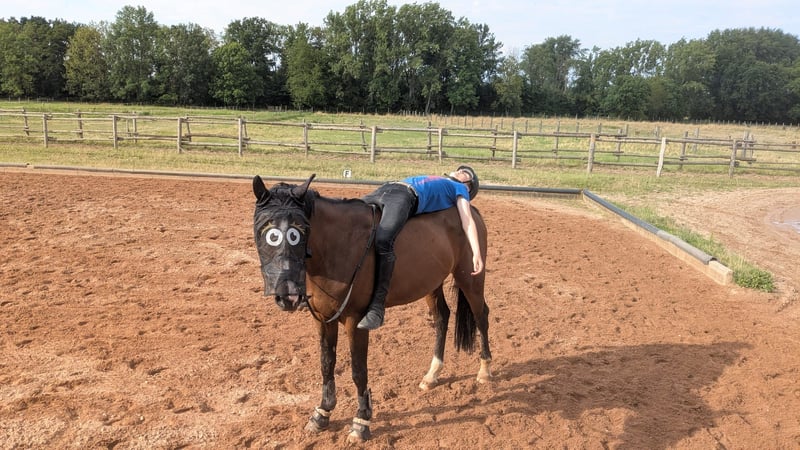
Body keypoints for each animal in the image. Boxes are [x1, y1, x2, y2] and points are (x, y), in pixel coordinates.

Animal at [252, 174, 492, 442]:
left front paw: (361, 422)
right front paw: (322, 413)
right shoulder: (323, 318)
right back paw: (432, 375)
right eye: (264, 231)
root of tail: (472, 211)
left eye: (299, 232)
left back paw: (484, 371)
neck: (337, 247)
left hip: (470, 278)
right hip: (432, 283)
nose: (287, 294)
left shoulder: (355, 321)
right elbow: (326, 363)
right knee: (442, 317)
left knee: (481, 316)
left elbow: (358, 371)